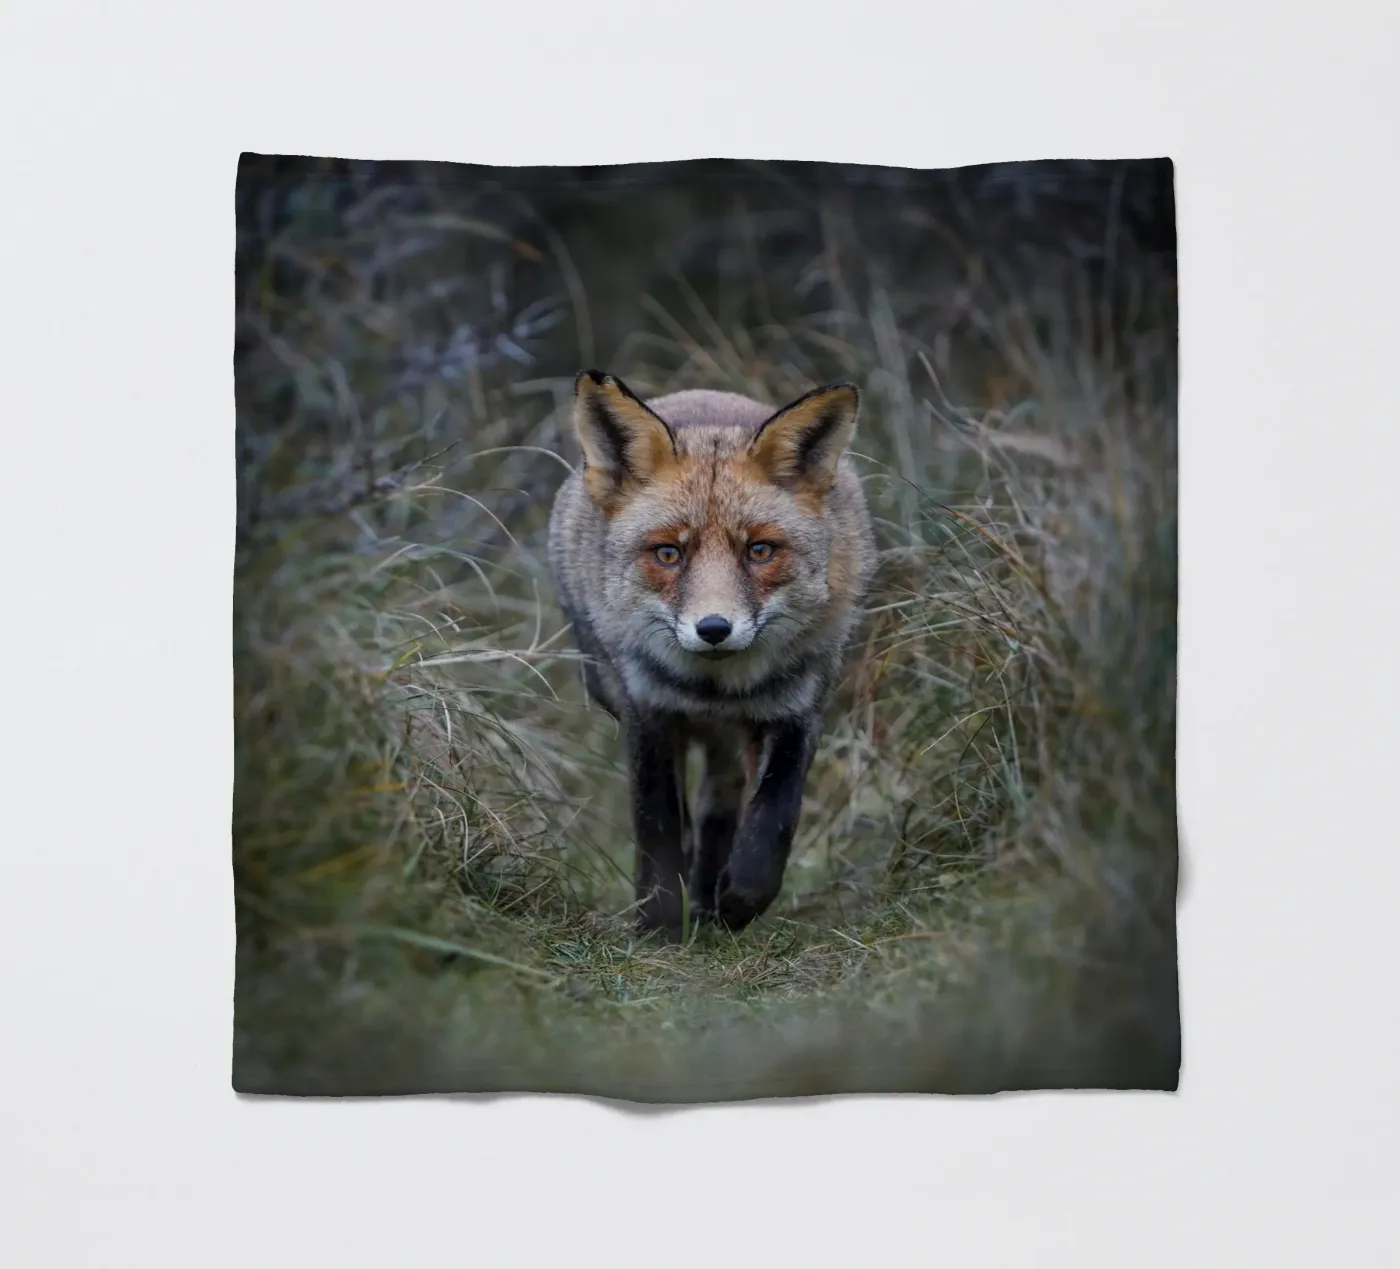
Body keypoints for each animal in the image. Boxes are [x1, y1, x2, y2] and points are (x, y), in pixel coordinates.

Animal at [548, 370, 876, 938]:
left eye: (760, 550)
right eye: (668, 554)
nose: (715, 629)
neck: (714, 689)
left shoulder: (798, 711)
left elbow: (774, 820)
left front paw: (738, 900)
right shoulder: (649, 713)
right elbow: (658, 826)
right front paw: (660, 924)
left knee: (718, 806)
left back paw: (708, 897)